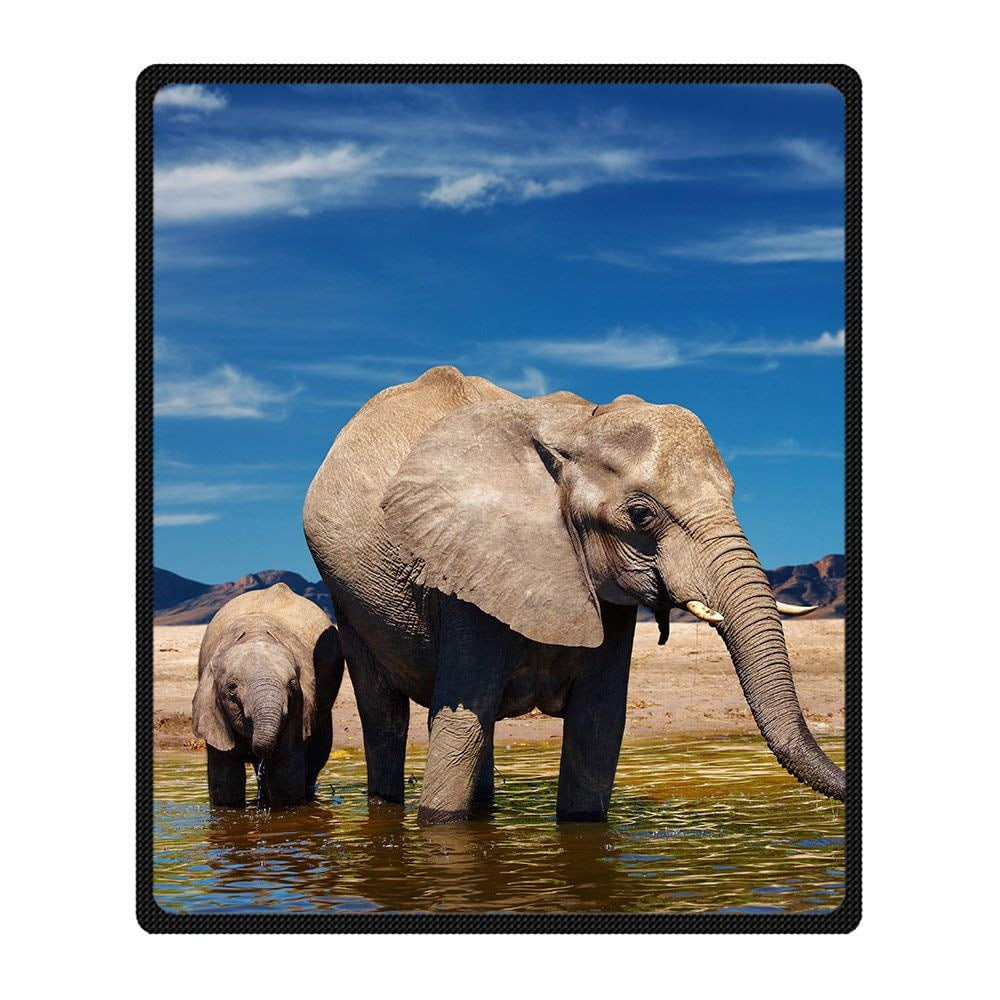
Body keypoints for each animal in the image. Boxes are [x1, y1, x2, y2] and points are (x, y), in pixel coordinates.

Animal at [192, 583, 344, 807]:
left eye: (292, 685)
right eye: (232, 687)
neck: (255, 634)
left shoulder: (300, 709)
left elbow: (285, 778)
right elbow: (225, 784)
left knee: (317, 755)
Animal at [303, 365, 844, 825]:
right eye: (641, 516)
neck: (574, 431)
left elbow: (597, 726)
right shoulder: (467, 571)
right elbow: (460, 724)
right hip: (347, 598)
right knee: (386, 716)